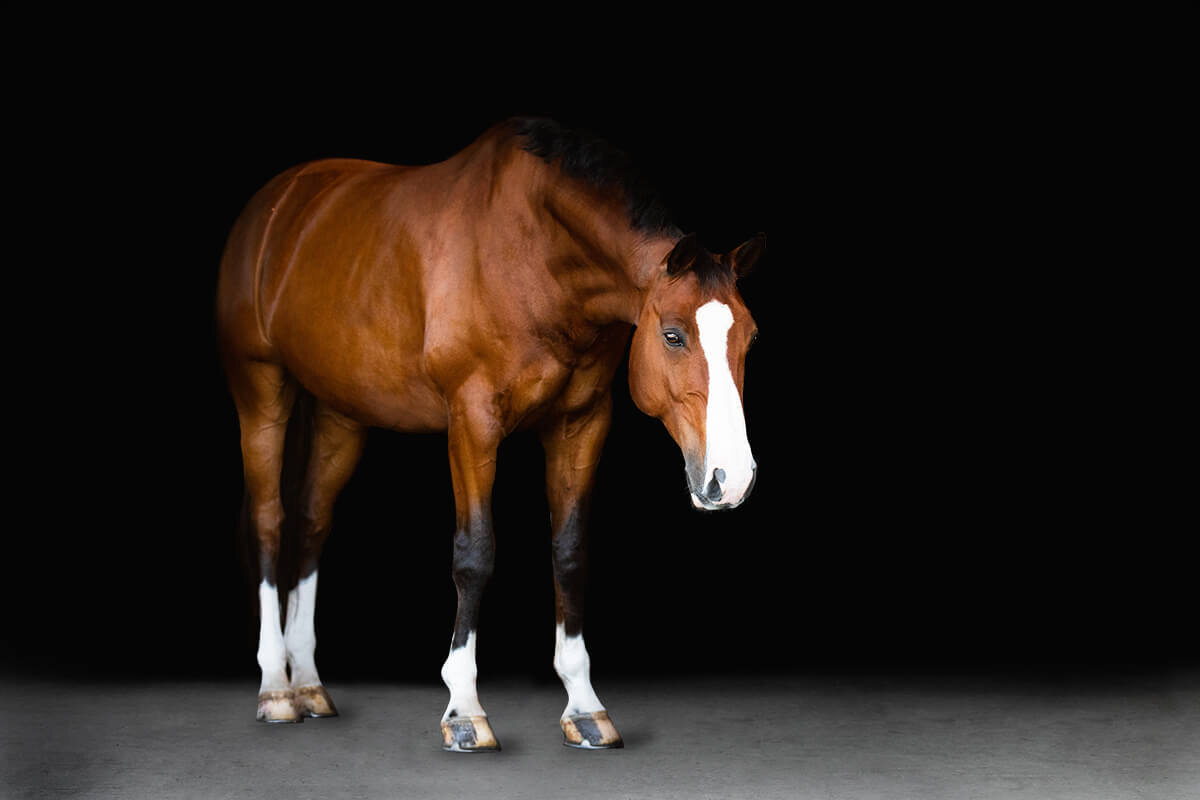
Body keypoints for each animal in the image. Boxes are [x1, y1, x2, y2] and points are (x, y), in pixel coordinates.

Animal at [217, 117, 763, 753]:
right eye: (673, 335)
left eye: (750, 337)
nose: (731, 479)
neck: (535, 260)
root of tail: (276, 203)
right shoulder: (472, 421)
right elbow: (474, 554)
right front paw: (463, 711)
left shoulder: (581, 422)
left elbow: (569, 553)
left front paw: (584, 706)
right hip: (260, 390)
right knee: (270, 521)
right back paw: (276, 689)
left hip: (339, 414)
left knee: (310, 522)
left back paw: (307, 684)